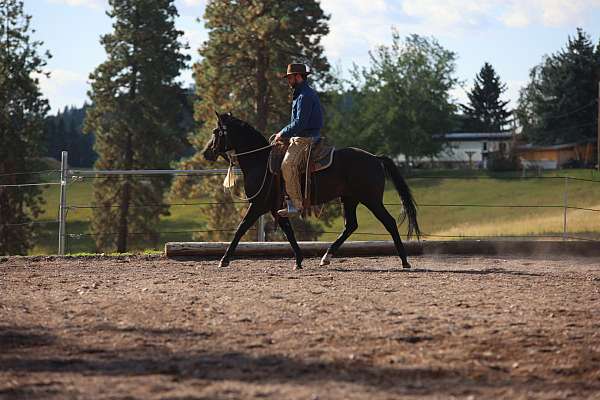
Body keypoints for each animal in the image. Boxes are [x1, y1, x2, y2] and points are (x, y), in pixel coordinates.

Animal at [204, 111, 420, 270]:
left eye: (216, 131)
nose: (206, 153)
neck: (260, 162)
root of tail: (375, 158)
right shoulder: (276, 209)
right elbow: (288, 232)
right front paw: (299, 260)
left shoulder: (258, 205)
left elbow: (241, 228)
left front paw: (224, 260)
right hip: (349, 199)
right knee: (351, 225)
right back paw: (326, 257)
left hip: (371, 199)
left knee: (389, 222)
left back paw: (404, 261)